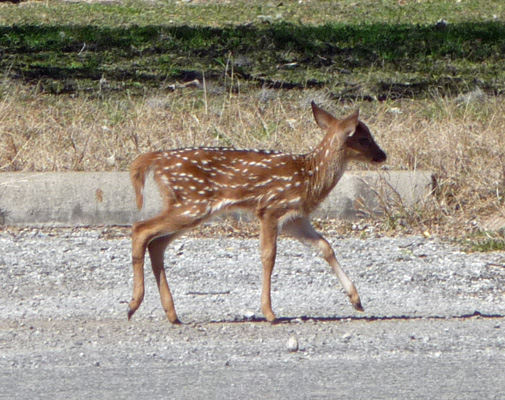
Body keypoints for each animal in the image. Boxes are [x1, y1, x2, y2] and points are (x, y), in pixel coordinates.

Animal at [127, 101, 386, 324]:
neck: (309, 177)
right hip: (193, 203)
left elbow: (326, 247)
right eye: (364, 139)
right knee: (140, 229)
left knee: (156, 243)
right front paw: (269, 312)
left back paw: (171, 314)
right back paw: (133, 304)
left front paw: (356, 300)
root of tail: (155, 158)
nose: (382, 155)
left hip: (186, 205)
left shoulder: (295, 218)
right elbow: (268, 256)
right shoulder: (270, 208)